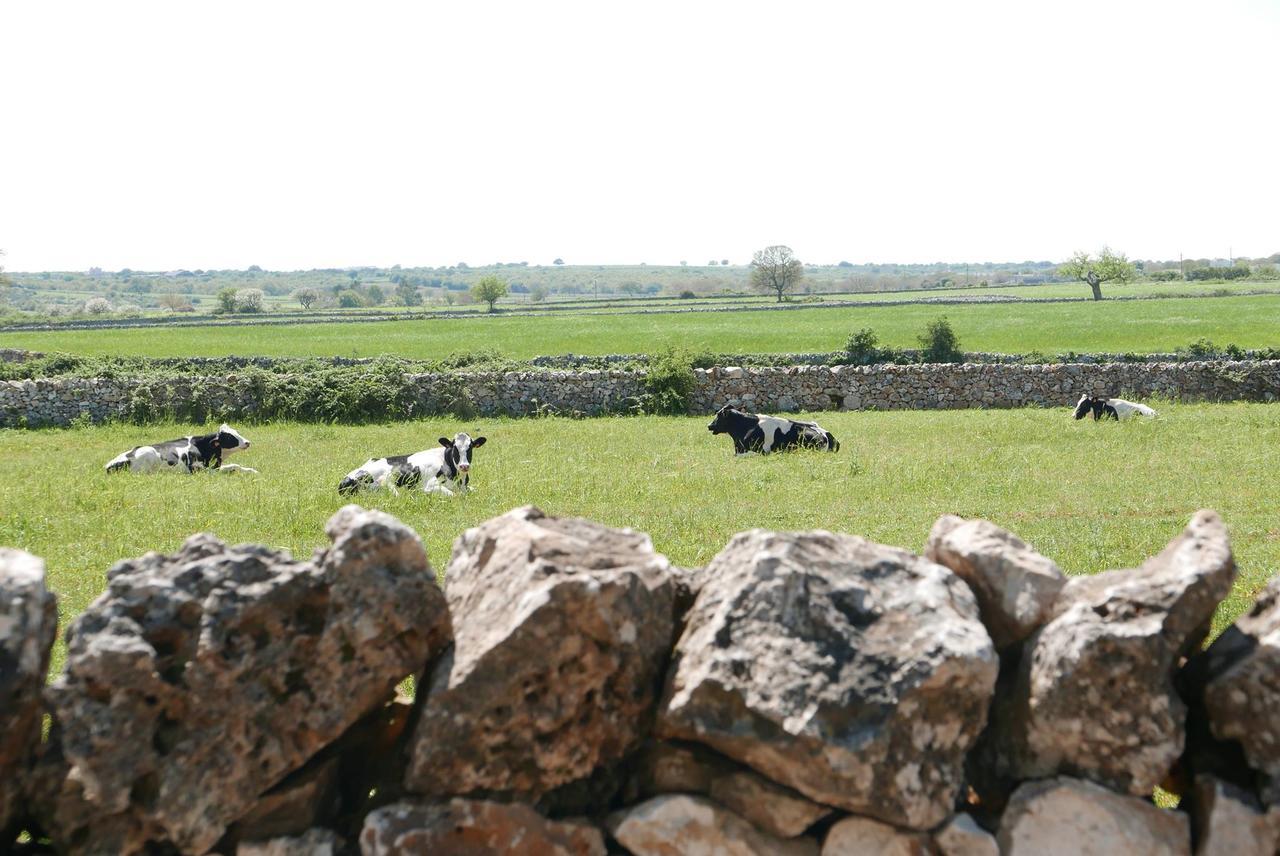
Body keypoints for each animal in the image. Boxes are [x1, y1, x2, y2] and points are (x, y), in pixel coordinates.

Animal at [106, 422, 256, 473]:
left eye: (237, 432)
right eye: (230, 437)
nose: (247, 442)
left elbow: (235, 466)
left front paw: (252, 471)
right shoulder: (197, 470)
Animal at [335, 429, 483, 496]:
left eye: (470, 447)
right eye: (455, 448)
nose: (464, 466)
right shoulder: (430, 486)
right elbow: (453, 495)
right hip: (385, 482)